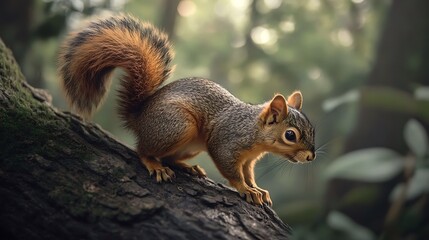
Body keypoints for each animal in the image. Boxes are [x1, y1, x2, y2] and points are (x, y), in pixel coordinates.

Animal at [58, 15, 314, 206]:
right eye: (290, 135)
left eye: (312, 128)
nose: (311, 157)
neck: (254, 131)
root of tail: (139, 117)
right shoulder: (226, 143)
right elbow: (232, 172)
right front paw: (245, 189)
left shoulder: (249, 161)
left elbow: (249, 174)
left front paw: (257, 188)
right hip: (178, 126)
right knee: (144, 150)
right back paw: (155, 165)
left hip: (189, 143)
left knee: (169, 157)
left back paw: (188, 167)